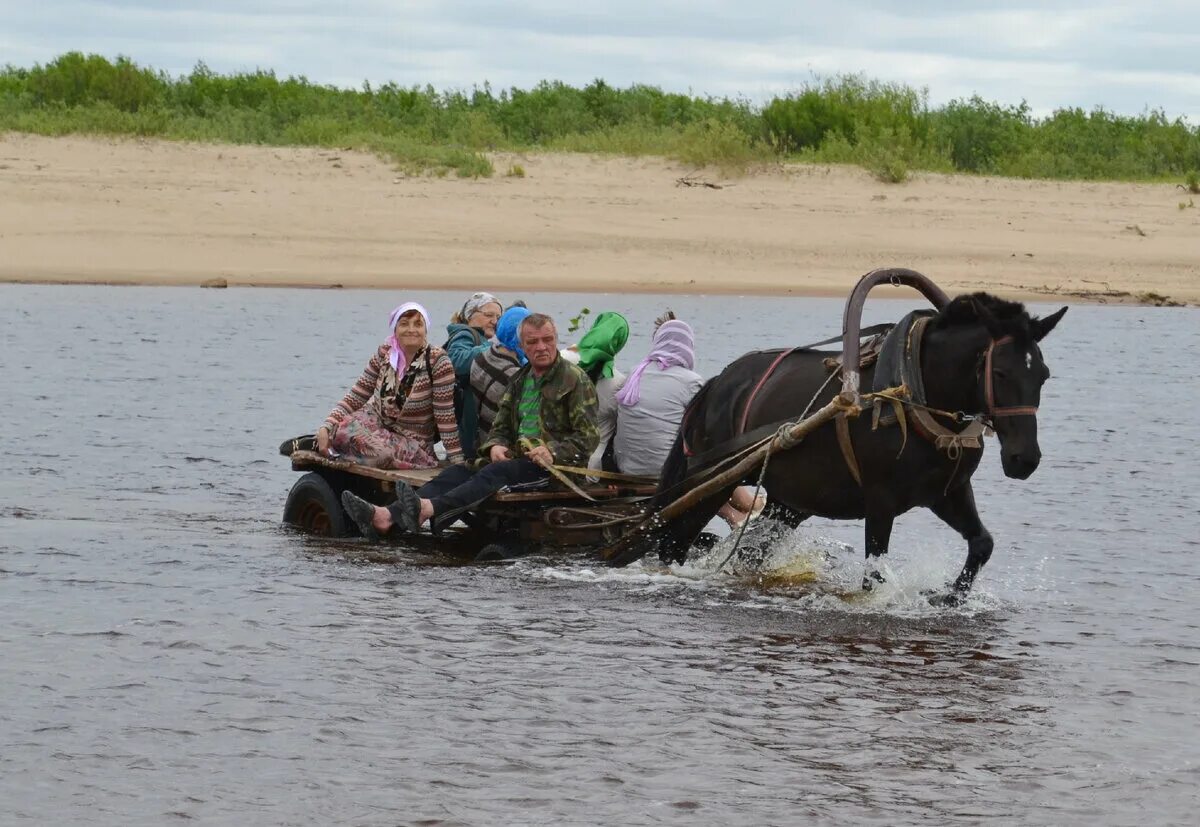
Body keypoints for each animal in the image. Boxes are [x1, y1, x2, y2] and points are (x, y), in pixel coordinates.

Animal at [609, 294, 1070, 602]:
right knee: (673, 542)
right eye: (1002, 372)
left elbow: (982, 544)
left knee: (749, 549)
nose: (1024, 459)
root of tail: (719, 383)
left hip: (790, 501)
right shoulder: (880, 499)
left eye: (1044, 374)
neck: (913, 386)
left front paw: (949, 595)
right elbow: (874, 576)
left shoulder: (947, 492)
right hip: (712, 482)